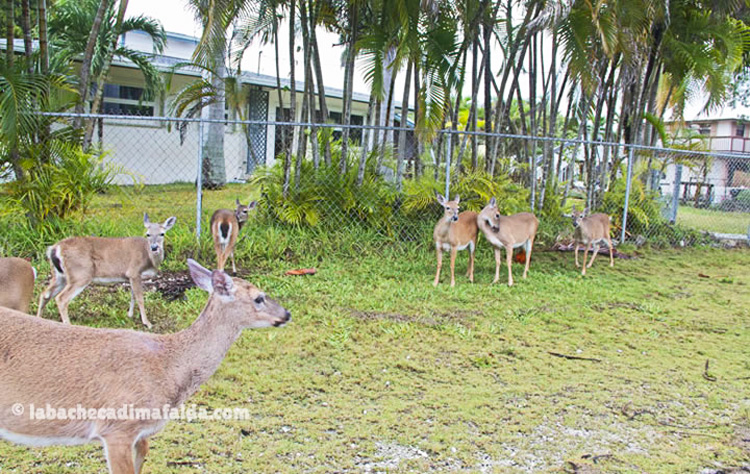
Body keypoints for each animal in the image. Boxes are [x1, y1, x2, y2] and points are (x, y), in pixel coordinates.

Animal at [36, 215, 177, 330]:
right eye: (148, 234)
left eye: (162, 234)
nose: (154, 247)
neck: (149, 258)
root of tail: (55, 248)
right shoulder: (134, 271)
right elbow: (140, 298)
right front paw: (147, 323)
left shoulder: (131, 276)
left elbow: (132, 295)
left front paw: (130, 315)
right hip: (80, 274)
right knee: (61, 298)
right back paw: (68, 325)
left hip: (60, 275)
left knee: (45, 294)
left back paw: (39, 319)